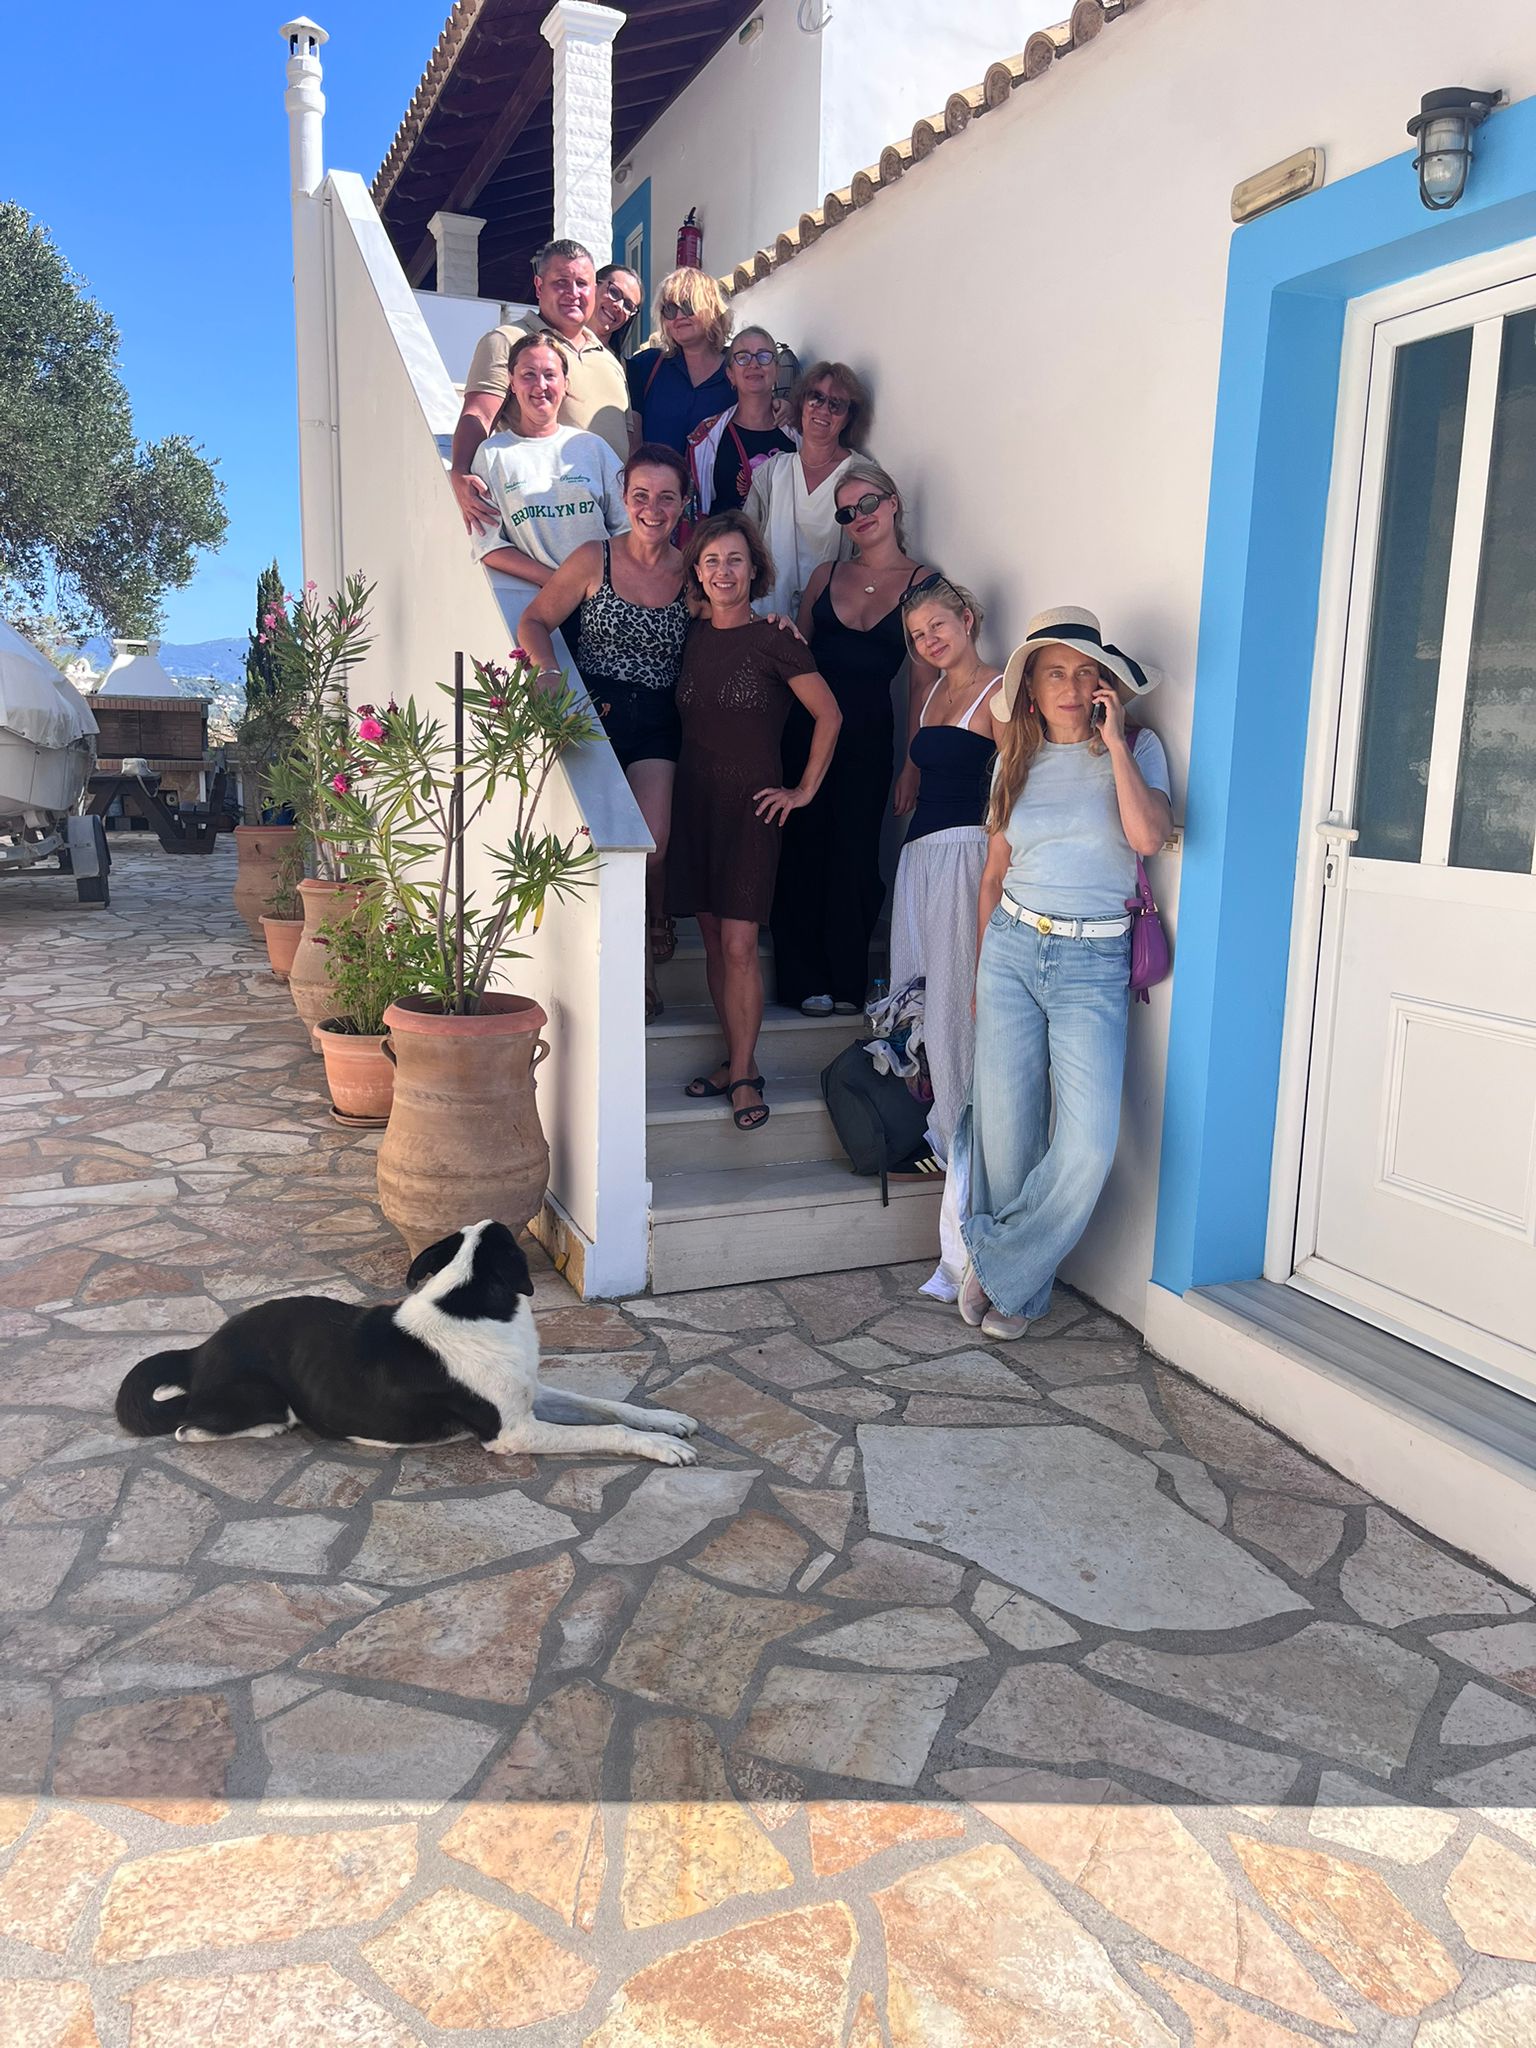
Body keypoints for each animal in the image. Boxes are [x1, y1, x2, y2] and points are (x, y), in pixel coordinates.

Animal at [114, 1218, 698, 1465]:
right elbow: (609, 1430)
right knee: (188, 1428)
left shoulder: (529, 1396)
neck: (465, 1298)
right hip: (260, 1397)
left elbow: (608, 1406)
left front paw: (666, 1421)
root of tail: (199, 1351)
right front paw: (660, 1446)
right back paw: (265, 1429)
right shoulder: (512, 1432)